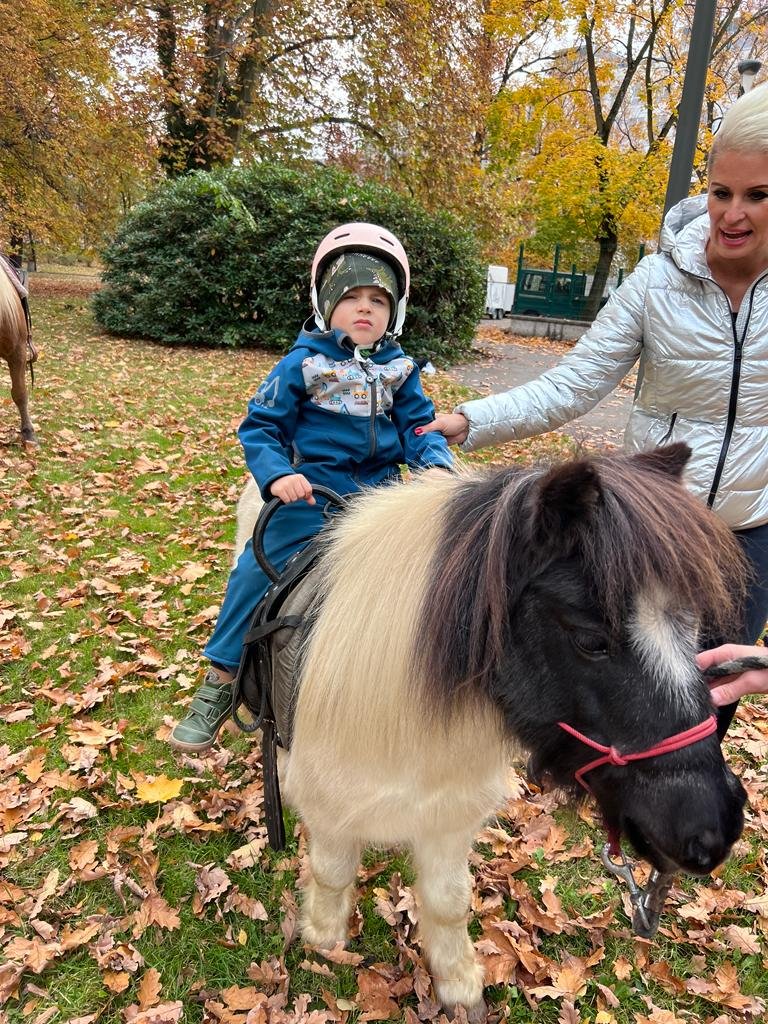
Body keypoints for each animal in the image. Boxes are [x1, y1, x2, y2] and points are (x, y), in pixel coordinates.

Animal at [235, 443, 747, 1018]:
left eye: (694, 628)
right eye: (591, 639)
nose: (715, 827)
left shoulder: (446, 817)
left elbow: (449, 902)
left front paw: (459, 986)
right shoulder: (329, 810)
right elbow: (332, 871)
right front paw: (323, 940)